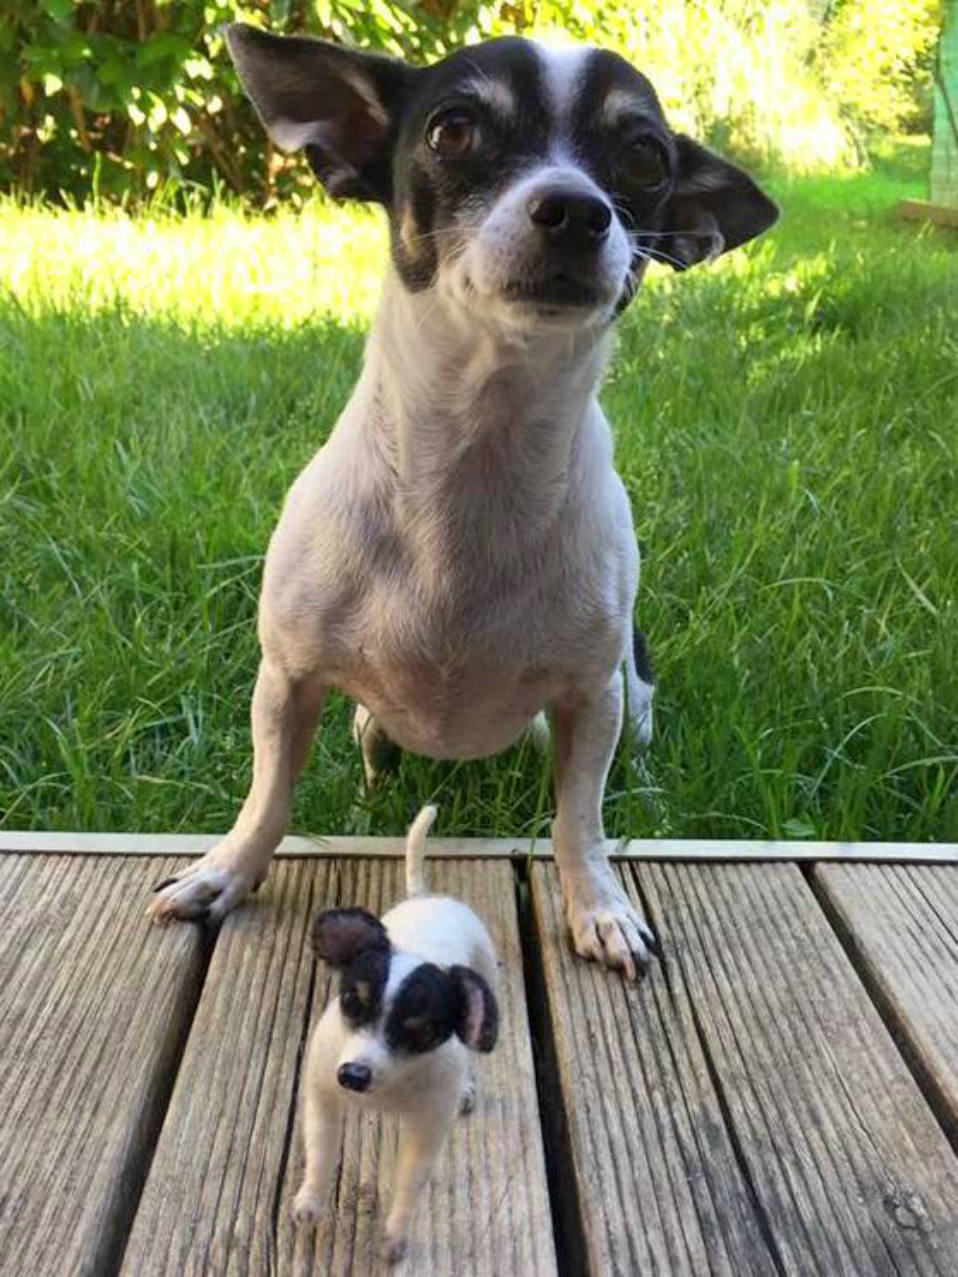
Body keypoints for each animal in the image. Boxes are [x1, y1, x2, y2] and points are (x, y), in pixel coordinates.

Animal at [152, 24, 781, 975]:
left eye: (644, 156)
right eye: (452, 131)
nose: (577, 209)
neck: (479, 449)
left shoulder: (589, 700)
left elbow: (579, 821)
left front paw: (598, 906)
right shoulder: (288, 682)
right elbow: (268, 796)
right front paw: (223, 873)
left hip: (625, 698)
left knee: (618, 764)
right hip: (367, 720)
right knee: (376, 757)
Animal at [295, 801, 498, 1261]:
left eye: (420, 1031)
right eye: (350, 1001)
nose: (353, 1076)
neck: (388, 1090)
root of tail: (428, 898)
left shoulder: (426, 1130)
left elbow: (409, 1184)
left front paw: (394, 1237)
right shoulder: (322, 1096)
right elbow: (320, 1152)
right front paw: (309, 1201)